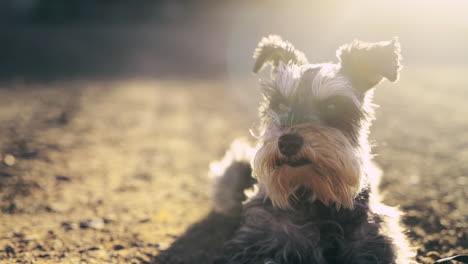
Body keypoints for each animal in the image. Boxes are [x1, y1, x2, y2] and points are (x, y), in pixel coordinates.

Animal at [210, 35, 414, 264]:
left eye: (332, 106)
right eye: (279, 103)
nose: (288, 142)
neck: (314, 194)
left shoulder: (374, 241)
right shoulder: (260, 241)